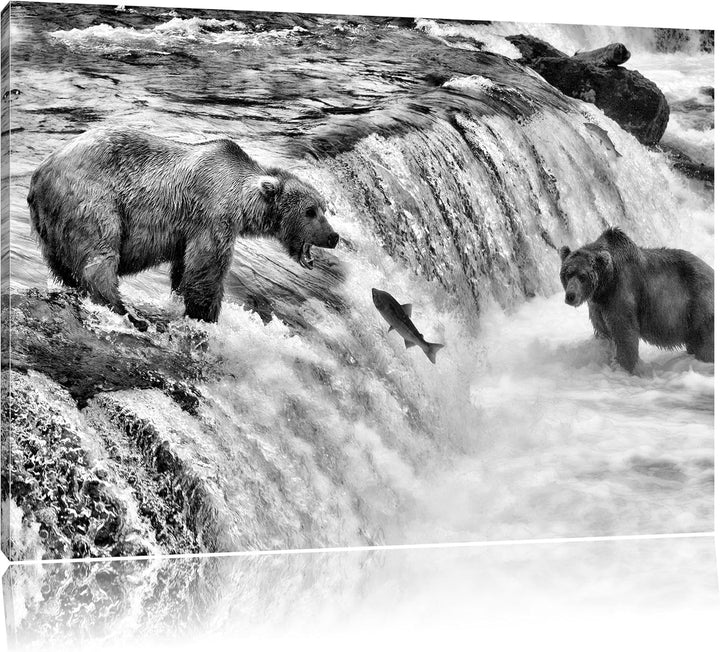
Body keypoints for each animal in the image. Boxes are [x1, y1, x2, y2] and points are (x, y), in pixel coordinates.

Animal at [27, 127, 339, 330]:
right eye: (310, 211)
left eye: (324, 208)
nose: (334, 236)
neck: (241, 199)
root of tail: (40, 172)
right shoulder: (212, 217)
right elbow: (207, 270)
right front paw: (206, 316)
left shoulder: (187, 231)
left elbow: (184, 269)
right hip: (93, 199)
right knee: (99, 255)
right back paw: (125, 311)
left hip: (50, 225)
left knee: (62, 264)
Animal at [559, 227, 713, 373]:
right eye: (567, 273)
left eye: (582, 276)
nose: (570, 296)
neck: (604, 286)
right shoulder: (598, 306)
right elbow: (603, 331)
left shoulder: (621, 293)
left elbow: (625, 333)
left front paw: (626, 367)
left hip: (697, 305)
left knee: (705, 343)